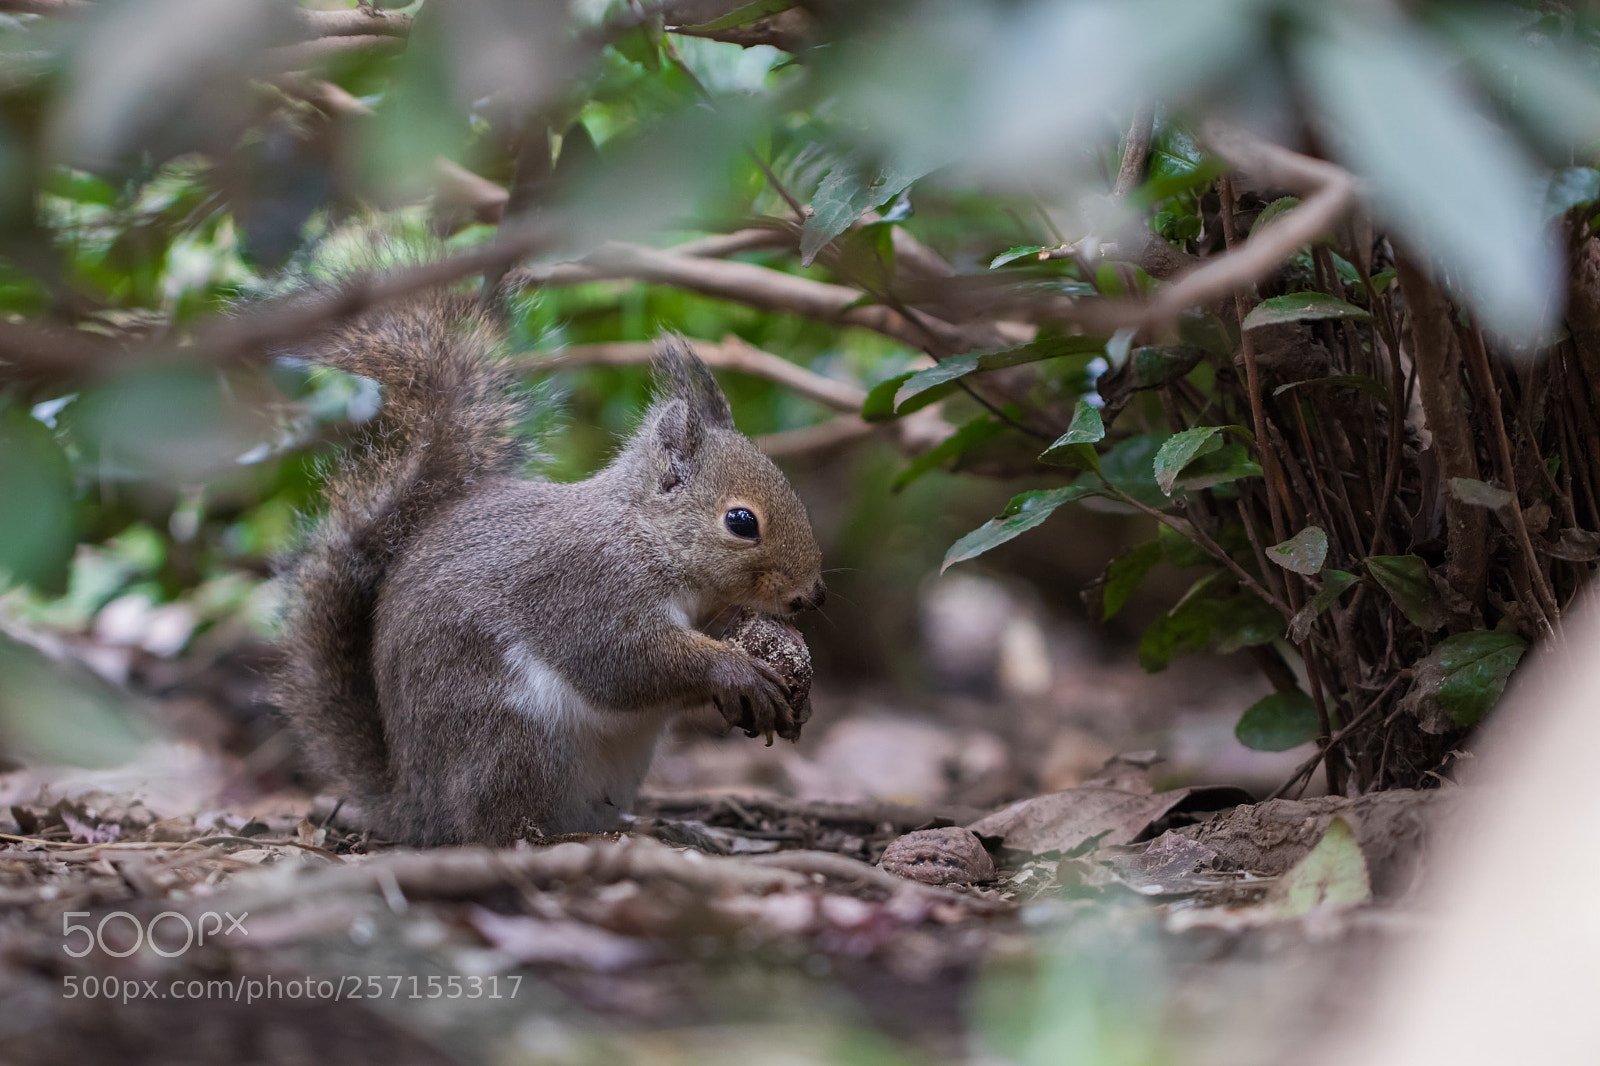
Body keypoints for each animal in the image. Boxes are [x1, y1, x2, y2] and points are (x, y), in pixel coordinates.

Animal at [275, 292, 825, 846]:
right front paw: (737, 671)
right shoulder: (588, 587)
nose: (812, 595)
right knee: (495, 826)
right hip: (515, 737)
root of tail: (416, 807)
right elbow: (624, 660)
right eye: (741, 521)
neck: (644, 536)